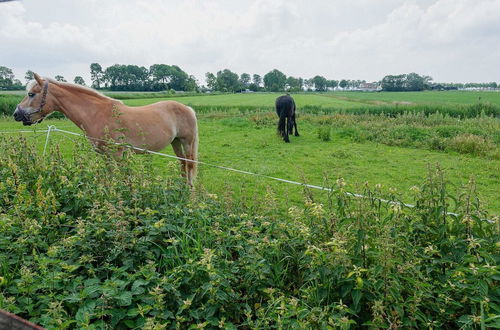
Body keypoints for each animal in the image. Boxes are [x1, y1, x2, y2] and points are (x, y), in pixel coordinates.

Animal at [14, 73, 197, 186]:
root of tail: (187, 108)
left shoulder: (117, 154)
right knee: (182, 164)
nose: (16, 114)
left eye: (31, 94)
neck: (97, 113)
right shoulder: (105, 156)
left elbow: (122, 178)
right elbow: (110, 177)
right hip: (176, 142)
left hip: (187, 143)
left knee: (189, 165)